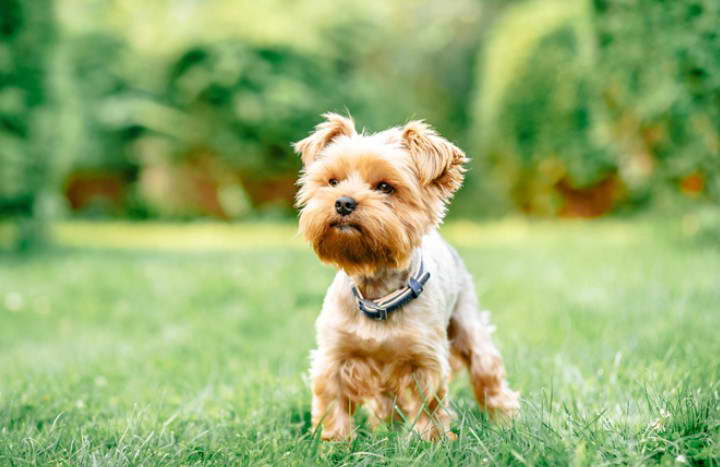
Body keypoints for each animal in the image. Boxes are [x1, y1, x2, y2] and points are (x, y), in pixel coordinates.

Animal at [296, 113, 520, 442]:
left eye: (385, 187)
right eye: (332, 181)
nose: (343, 202)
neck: (377, 292)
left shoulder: (424, 358)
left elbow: (429, 405)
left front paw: (431, 442)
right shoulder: (334, 357)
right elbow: (333, 402)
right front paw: (335, 444)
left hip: (469, 323)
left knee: (487, 372)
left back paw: (504, 419)